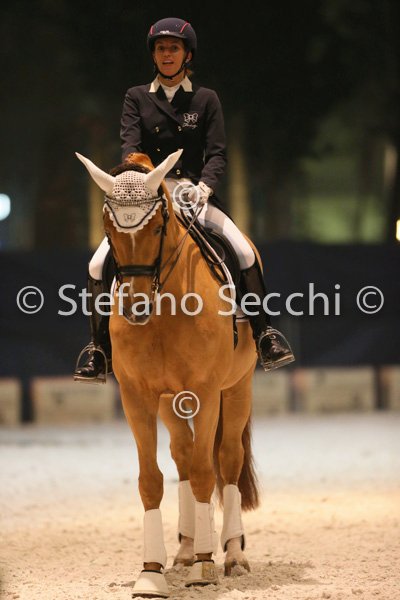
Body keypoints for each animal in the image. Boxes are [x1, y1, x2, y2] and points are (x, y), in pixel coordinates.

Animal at [76, 148, 261, 597]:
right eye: (109, 229)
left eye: (158, 226)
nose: (136, 306)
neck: (165, 310)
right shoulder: (138, 397)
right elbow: (151, 479)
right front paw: (152, 571)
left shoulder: (207, 391)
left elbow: (206, 472)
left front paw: (205, 567)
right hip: (170, 402)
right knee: (182, 455)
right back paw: (186, 549)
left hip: (238, 388)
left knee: (227, 459)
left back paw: (231, 554)